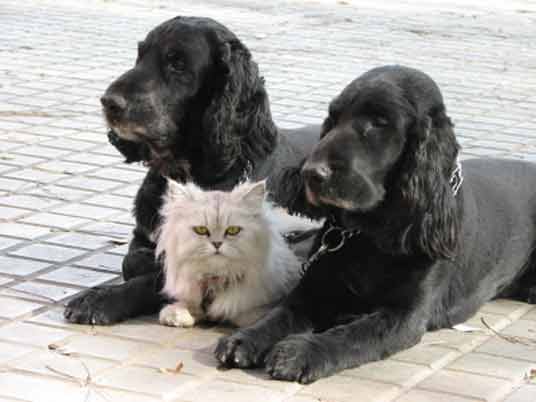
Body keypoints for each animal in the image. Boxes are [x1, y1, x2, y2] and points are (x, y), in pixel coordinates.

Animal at [155, 181, 316, 328]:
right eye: (201, 230)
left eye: (233, 230)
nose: (217, 243)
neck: (217, 281)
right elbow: (188, 305)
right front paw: (176, 315)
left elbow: (241, 313)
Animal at [216, 65, 536, 384]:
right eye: (333, 117)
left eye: (380, 122)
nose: (311, 173)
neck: (370, 234)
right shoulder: (314, 288)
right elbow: (280, 314)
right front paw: (245, 339)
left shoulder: (405, 314)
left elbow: (353, 334)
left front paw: (300, 352)